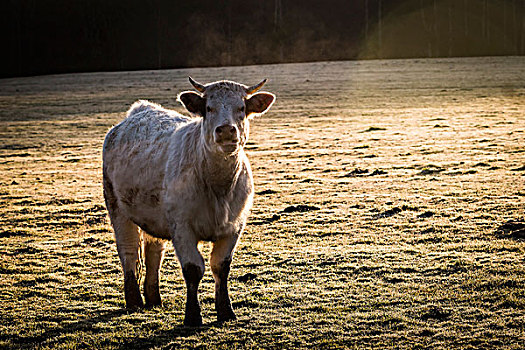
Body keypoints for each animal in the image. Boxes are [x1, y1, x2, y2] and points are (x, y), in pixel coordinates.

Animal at [101, 77, 274, 328]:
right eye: (208, 108)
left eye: (241, 108)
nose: (226, 130)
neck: (218, 186)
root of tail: (140, 110)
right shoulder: (182, 227)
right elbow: (193, 268)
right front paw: (192, 316)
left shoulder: (234, 226)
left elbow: (221, 266)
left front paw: (226, 312)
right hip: (116, 207)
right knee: (129, 251)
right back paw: (134, 300)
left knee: (154, 252)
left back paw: (153, 298)